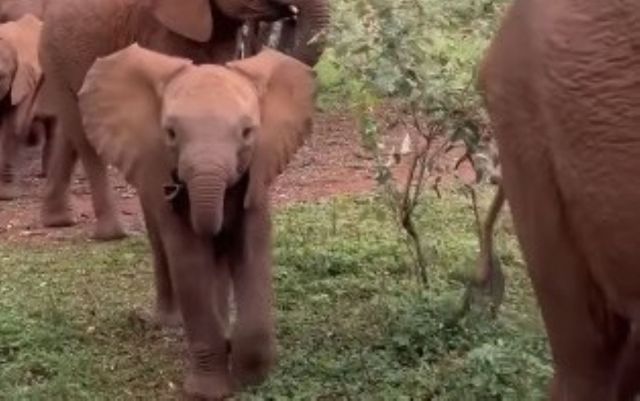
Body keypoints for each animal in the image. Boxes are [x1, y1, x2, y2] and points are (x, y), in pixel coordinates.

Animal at [38, 0, 329, 240]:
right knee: (83, 136)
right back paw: (111, 234)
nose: (290, 16)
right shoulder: (160, 28)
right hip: (57, 57)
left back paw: (58, 221)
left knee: (70, 132)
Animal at [77, 44, 316, 399]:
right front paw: (210, 391)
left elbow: (251, 249)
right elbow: (191, 262)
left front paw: (252, 377)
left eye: (247, 133)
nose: (175, 190)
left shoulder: (259, 173)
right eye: (171, 133)